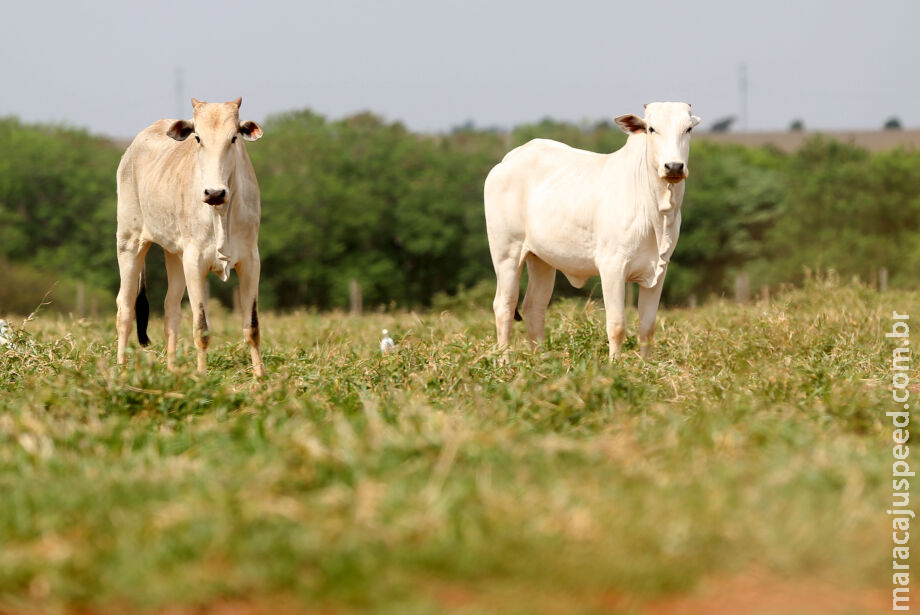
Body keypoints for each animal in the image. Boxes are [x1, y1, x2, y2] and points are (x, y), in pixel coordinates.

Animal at [115, 97, 266, 378]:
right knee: (125, 308)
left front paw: (261, 379)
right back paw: (120, 370)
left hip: (175, 256)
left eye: (233, 138)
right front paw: (202, 377)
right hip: (129, 243)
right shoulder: (195, 262)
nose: (215, 193)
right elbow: (201, 328)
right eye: (198, 138)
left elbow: (251, 327)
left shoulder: (251, 261)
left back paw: (172, 369)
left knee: (170, 309)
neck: (220, 212)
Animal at [486, 103, 700, 358]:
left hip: (541, 259)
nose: (674, 166)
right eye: (651, 128)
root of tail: (509, 159)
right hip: (506, 253)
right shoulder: (612, 267)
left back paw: (542, 360)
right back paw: (504, 361)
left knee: (533, 306)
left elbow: (647, 327)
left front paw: (645, 365)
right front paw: (615, 364)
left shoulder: (659, 269)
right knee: (505, 306)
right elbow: (617, 325)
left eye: (688, 129)